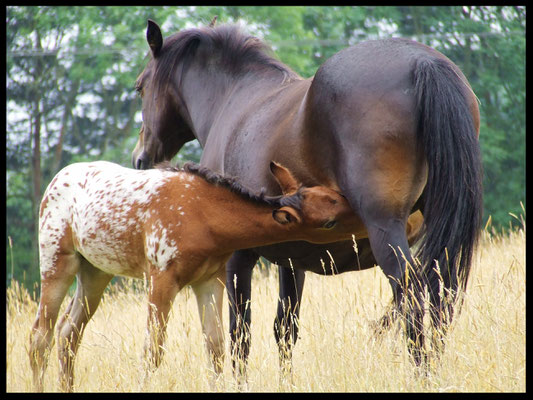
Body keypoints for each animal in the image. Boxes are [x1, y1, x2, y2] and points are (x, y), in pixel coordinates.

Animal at [28, 159, 354, 390]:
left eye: (330, 192)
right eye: (328, 222)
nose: (356, 205)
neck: (203, 216)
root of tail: (54, 181)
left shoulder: (209, 280)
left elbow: (216, 348)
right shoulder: (161, 276)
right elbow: (153, 350)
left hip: (95, 272)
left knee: (68, 333)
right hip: (56, 262)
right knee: (40, 337)